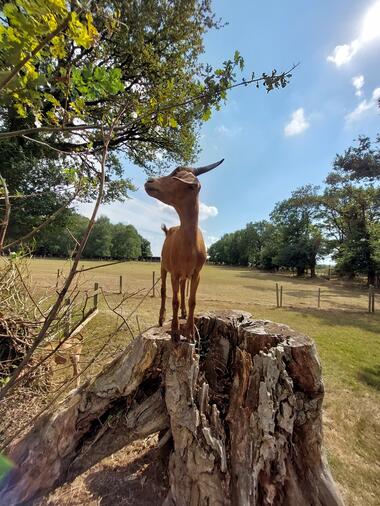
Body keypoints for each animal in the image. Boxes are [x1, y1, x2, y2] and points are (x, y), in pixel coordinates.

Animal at [145, 159, 223, 340]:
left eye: (175, 176)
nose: (149, 181)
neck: (189, 247)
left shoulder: (196, 273)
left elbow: (191, 300)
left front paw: (191, 332)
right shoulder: (174, 272)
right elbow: (175, 300)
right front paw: (174, 332)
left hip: (183, 274)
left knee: (181, 289)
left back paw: (183, 313)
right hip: (163, 265)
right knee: (164, 290)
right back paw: (162, 318)